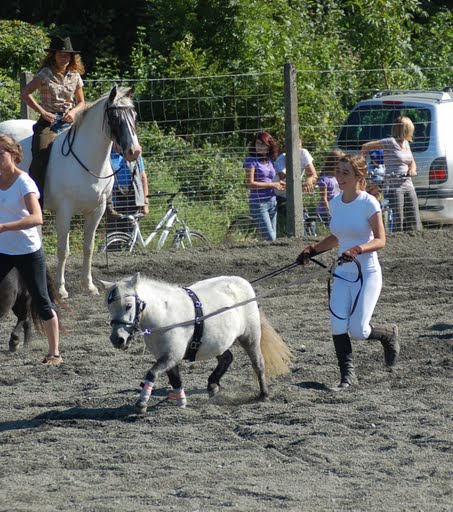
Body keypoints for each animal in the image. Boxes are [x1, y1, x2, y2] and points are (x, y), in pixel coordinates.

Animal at [0, 86, 140, 298]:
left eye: (134, 115)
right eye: (115, 117)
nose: (134, 151)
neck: (87, 160)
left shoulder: (97, 211)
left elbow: (88, 247)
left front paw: (88, 286)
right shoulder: (65, 211)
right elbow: (63, 250)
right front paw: (60, 289)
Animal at [100, 274, 292, 414]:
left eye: (128, 305)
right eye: (109, 307)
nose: (117, 339)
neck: (163, 315)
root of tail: (244, 283)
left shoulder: (172, 355)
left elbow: (152, 373)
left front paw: (141, 403)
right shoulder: (169, 357)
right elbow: (175, 379)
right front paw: (182, 402)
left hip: (250, 336)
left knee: (258, 363)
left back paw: (264, 394)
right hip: (217, 341)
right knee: (227, 358)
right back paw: (213, 385)